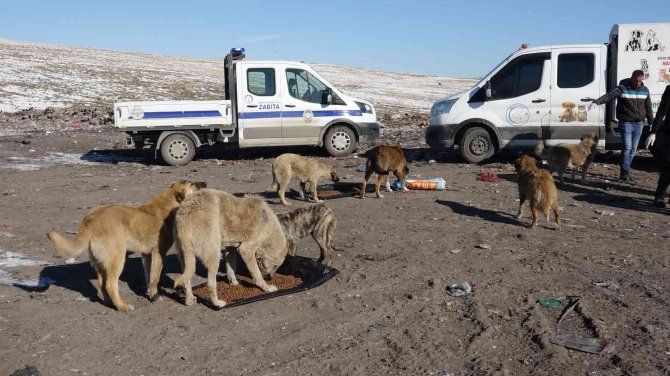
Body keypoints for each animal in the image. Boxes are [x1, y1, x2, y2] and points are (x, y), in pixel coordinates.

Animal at [46, 180, 207, 312]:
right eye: (192, 184)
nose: (205, 183)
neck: (169, 202)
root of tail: (90, 219)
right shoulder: (159, 253)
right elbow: (155, 278)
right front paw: (155, 297)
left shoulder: (146, 255)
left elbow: (148, 277)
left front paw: (150, 294)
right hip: (117, 259)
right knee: (110, 284)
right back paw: (122, 306)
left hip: (100, 263)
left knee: (102, 283)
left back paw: (109, 303)